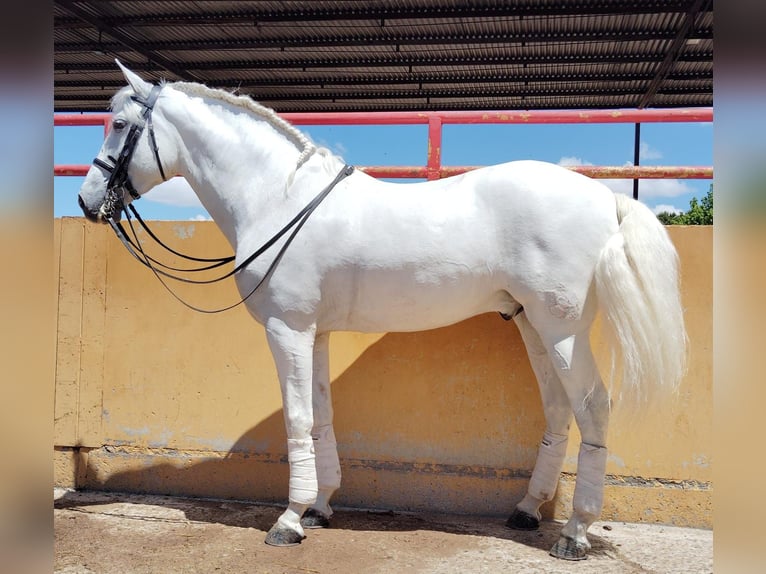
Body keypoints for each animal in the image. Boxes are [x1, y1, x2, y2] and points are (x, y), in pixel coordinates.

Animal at [79, 63, 688, 564]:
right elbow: (321, 416)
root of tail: (605, 196)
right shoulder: (316, 333)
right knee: (560, 411)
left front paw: (289, 521)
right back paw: (527, 510)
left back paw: (575, 533)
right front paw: (321, 506)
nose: (86, 202)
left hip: (562, 330)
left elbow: (296, 419)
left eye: (117, 124)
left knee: (594, 408)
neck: (277, 198)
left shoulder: (288, 330)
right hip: (534, 326)